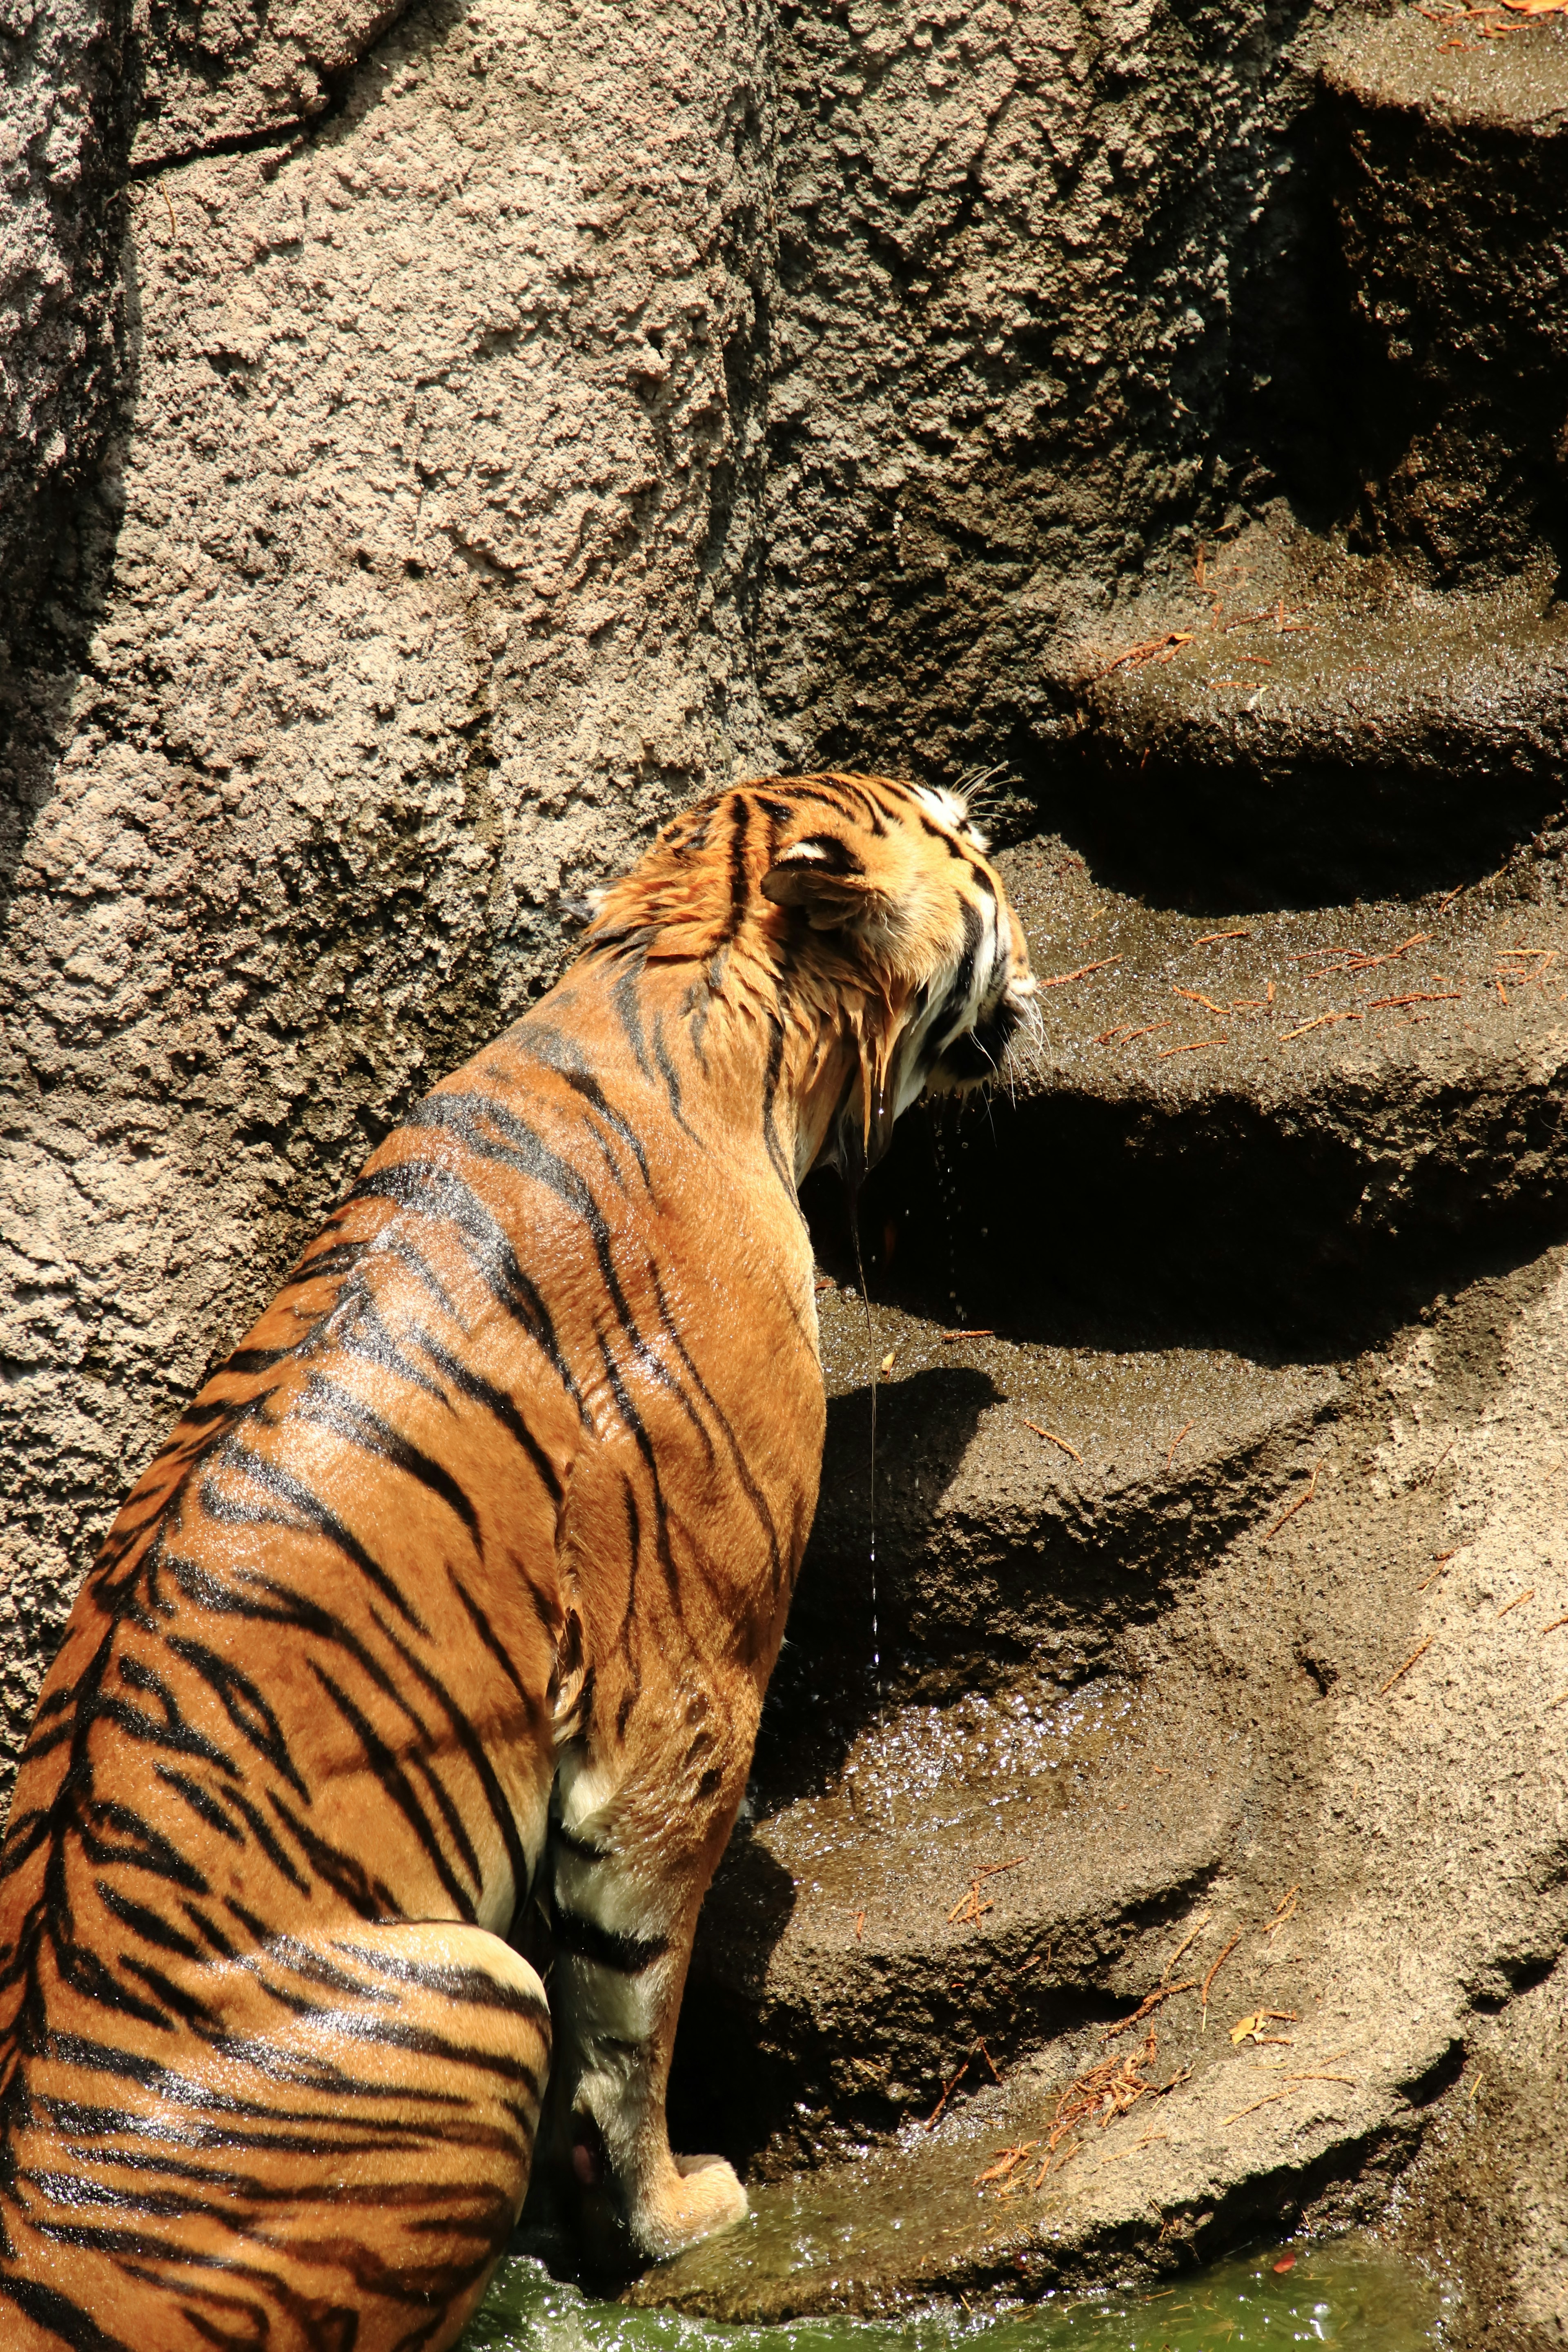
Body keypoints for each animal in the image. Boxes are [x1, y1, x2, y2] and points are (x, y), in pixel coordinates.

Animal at [0, 771, 1029, 2352]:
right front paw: (668, 2216)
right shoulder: (681, 1701)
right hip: (469, 2001)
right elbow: (635, 2002)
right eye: (964, 845)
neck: (672, 980)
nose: (1027, 902)